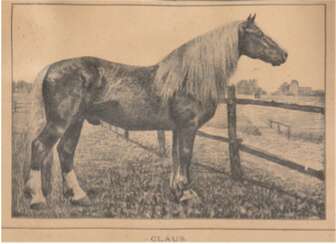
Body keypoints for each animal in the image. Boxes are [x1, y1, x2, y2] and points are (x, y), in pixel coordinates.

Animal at [24, 14, 286, 209]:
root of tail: (51, 68)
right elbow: (185, 157)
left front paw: (177, 192)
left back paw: (79, 196)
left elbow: (176, 157)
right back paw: (37, 199)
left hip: (76, 122)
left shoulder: (177, 128)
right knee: (40, 146)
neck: (189, 78)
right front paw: (188, 194)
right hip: (61, 122)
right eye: (259, 34)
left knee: (65, 151)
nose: (284, 55)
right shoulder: (188, 127)